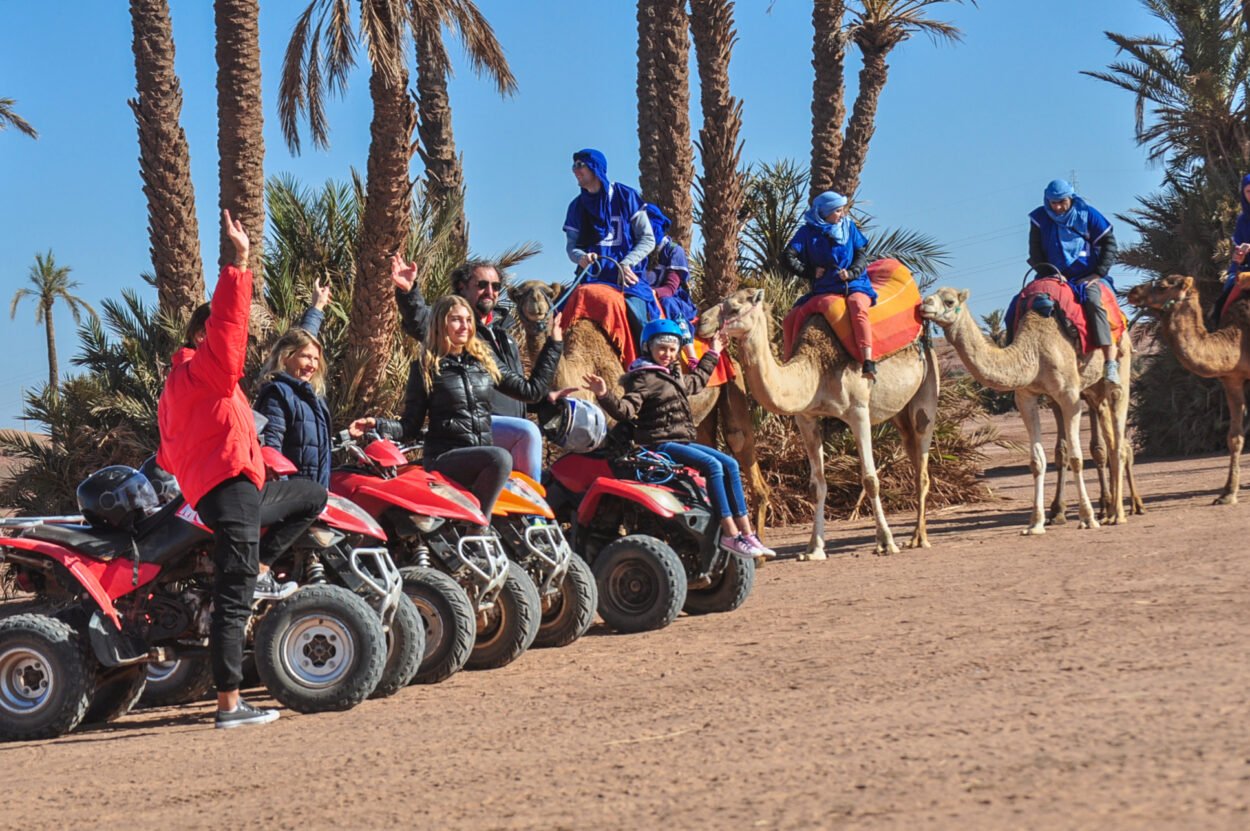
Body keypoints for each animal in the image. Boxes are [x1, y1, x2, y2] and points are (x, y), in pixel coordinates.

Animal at [510, 274, 770, 527]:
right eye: (520, 294)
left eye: (548, 292)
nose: (536, 304)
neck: (585, 362)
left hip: (734, 384)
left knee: (740, 442)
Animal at [700, 284, 935, 557]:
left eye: (735, 308)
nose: (701, 322)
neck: (816, 370)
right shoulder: (806, 418)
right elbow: (817, 485)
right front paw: (814, 548)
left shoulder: (858, 411)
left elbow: (870, 478)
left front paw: (886, 542)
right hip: (899, 412)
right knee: (912, 451)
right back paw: (916, 535)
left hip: (927, 387)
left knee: (922, 455)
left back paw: (919, 538)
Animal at [920, 284, 1135, 532]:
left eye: (949, 301)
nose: (924, 304)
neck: (1034, 351)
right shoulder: (1026, 396)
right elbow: (1037, 461)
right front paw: (1035, 523)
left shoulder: (1069, 395)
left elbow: (1076, 457)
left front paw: (1088, 518)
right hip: (1093, 387)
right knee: (1109, 439)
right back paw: (1108, 511)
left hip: (1121, 360)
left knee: (1118, 432)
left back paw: (1119, 514)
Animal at [1125, 274, 1250, 502]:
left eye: (1163, 286)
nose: (1133, 291)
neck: (1240, 337)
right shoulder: (1232, 380)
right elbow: (1235, 437)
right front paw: (1227, 494)